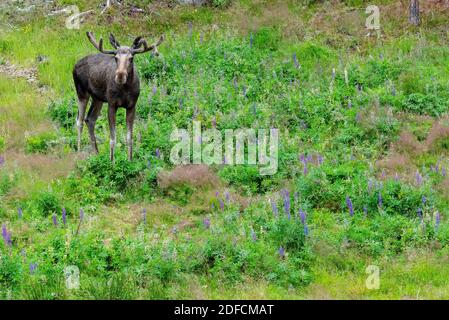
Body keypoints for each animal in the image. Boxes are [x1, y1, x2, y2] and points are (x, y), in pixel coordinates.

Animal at [72, 31, 164, 161]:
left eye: (131, 58)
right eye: (116, 58)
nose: (120, 75)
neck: (125, 90)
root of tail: (74, 65)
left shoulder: (132, 106)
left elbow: (129, 138)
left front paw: (130, 160)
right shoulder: (112, 104)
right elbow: (112, 139)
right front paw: (112, 162)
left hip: (98, 98)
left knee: (90, 119)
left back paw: (96, 153)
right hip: (81, 92)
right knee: (79, 121)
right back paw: (80, 152)